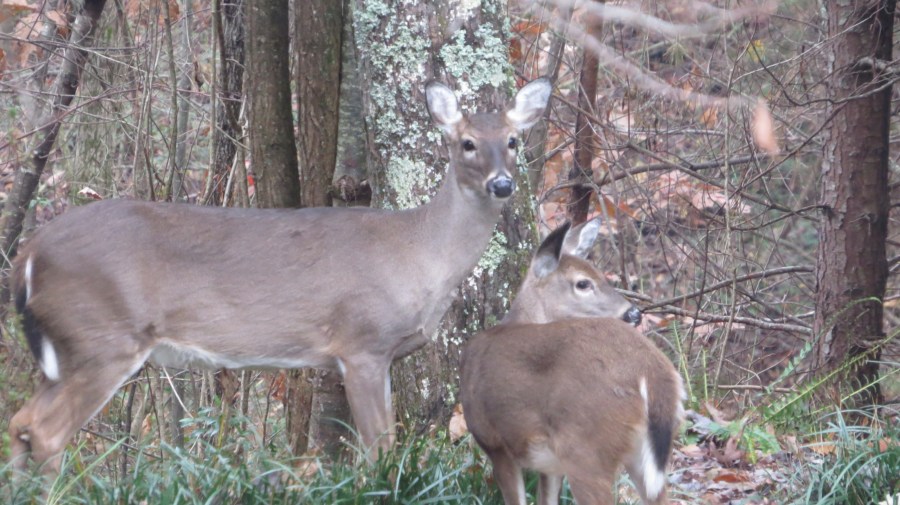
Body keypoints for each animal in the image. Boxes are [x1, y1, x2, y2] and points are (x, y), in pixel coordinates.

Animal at [8, 77, 552, 474]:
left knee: (20, 422)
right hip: (103, 337)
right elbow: (378, 449)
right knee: (47, 431)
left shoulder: (383, 353)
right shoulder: (361, 342)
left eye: (513, 140)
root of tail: (28, 254)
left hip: (70, 348)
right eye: (467, 143)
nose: (502, 184)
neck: (418, 252)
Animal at [460, 219, 684, 505]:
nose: (634, 313)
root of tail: (653, 372)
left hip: (585, 448)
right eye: (583, 283)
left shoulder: (495, 441)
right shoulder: (548, 464)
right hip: (642, 453)